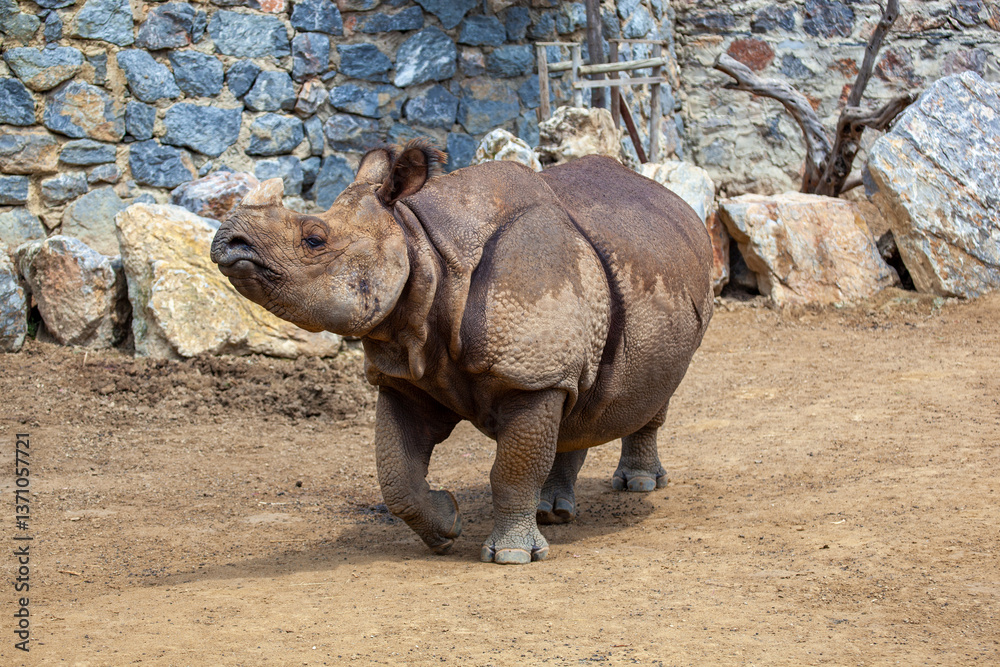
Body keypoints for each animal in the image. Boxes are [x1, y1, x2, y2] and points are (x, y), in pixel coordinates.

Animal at [211, 140, 714, 564]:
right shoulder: (406, 376)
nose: (227, 240)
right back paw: (552, 512)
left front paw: (511, 557)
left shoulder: (529, 375)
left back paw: (639, 485)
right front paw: (445, 526)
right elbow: (396, 476)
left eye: (313, 239)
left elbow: (512, 466)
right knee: (577, 399)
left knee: (650, 388)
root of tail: (671, 198)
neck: (425, 251)